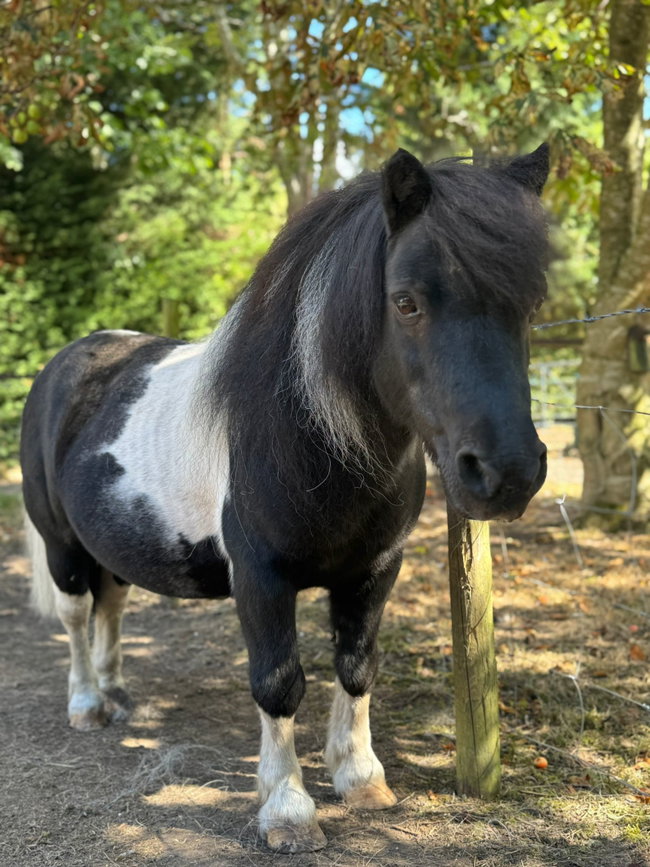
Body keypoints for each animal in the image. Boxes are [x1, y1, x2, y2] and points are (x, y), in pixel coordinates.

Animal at [21, 145, 550, 853]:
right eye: (406, 302)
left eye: (532, 303)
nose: (507, 473)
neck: (309, 440)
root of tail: (70, 360)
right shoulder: (261, 580)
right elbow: (278, 683)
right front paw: (288, 809)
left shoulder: (375, 572)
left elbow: (357, 667)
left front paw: (361, 779)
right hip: (61, 546)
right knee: (78, 617)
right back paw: (86, 705)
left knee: (112, 606)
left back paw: (117, 693)